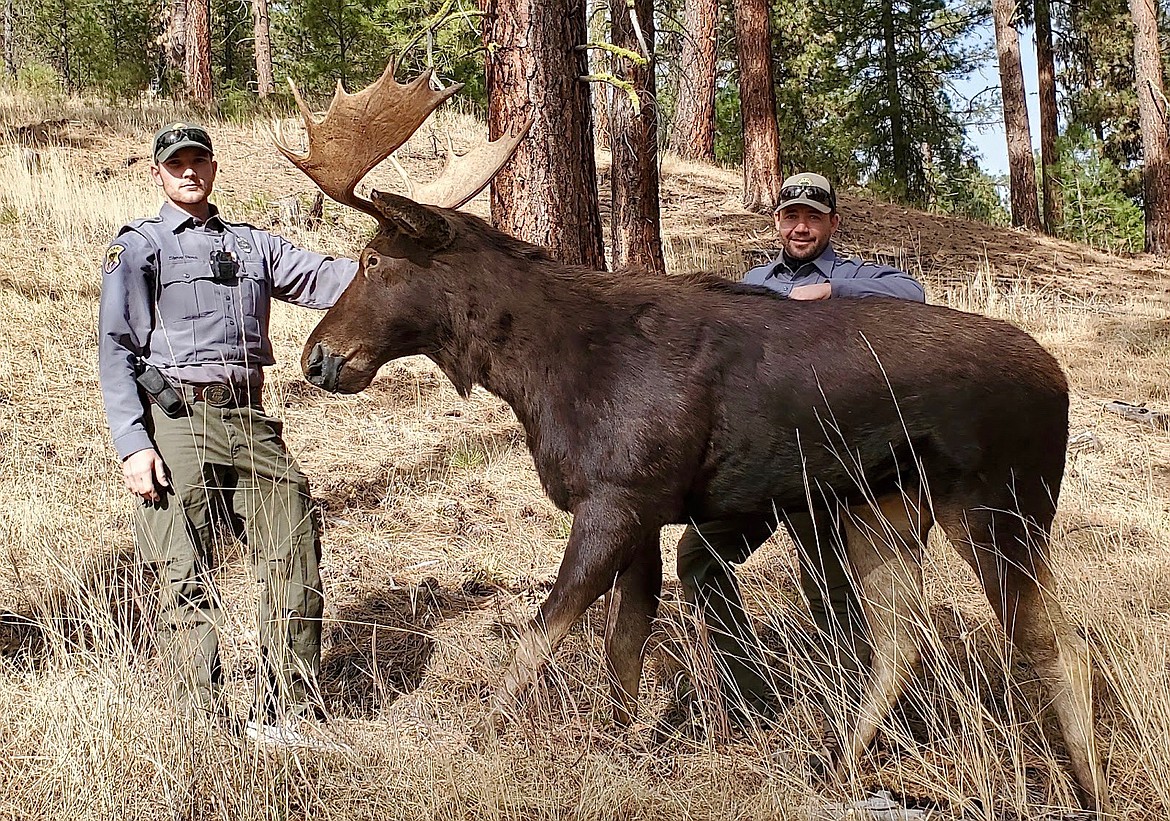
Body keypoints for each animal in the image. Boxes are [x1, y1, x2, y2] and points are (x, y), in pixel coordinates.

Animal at [274, 63, 1109, 815]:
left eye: (374, 259)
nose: (318, 357)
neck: (537, 370)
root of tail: (1061, 377)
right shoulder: (643, 508)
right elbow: (625, 643)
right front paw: (616, 742)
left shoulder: (616, 498)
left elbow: (543, 632)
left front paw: (481, 738)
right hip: (885, 510)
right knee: (902, 640)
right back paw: (838, 765)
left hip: (1004, 505)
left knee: (1054, 641)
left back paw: (1089, 787)